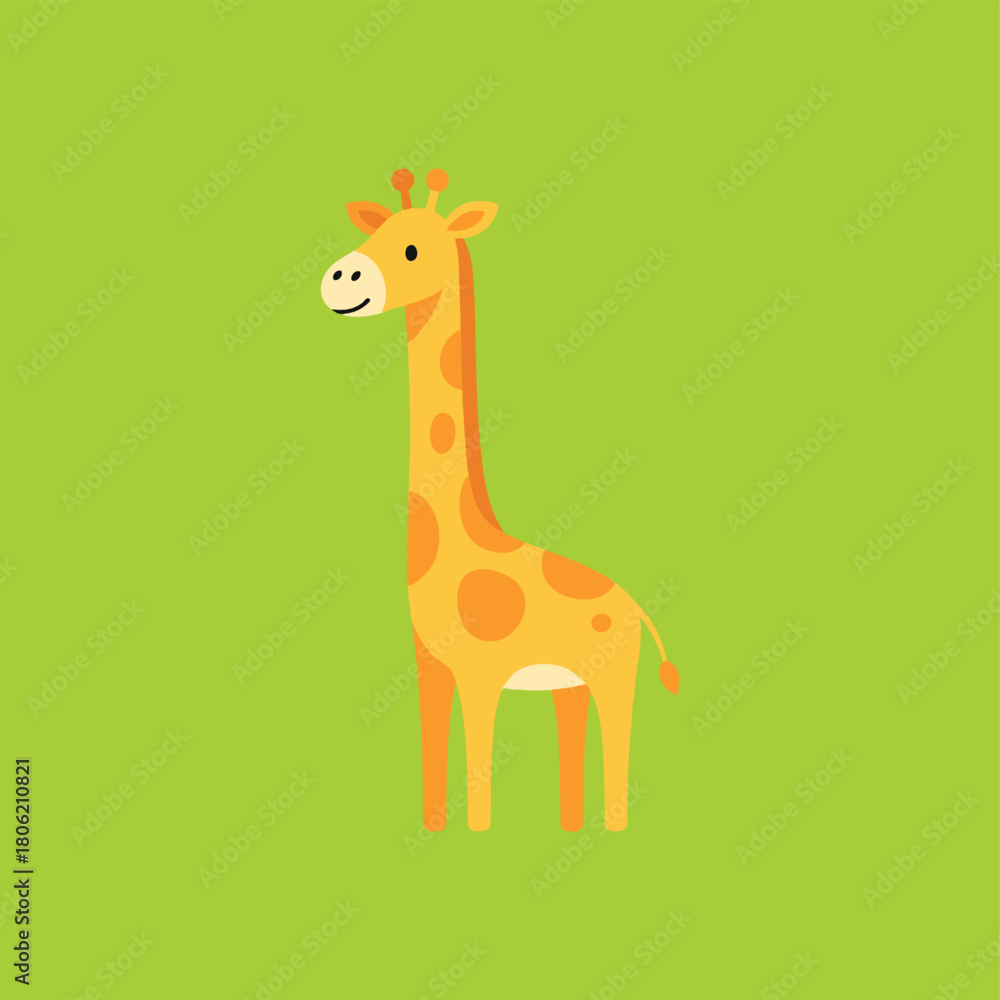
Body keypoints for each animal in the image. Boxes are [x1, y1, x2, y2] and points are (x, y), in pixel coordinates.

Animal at [321, 168, 678, 833]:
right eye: (377, 231)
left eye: (412, 250)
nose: (340, 277)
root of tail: (638, 611)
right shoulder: (429, 666)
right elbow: (433, 753)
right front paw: (433, 830)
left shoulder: (482, 673)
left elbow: (479, 768)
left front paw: (478, 837)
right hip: (570, 686)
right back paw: (571, 829)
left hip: (615, 677)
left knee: (617, 759)